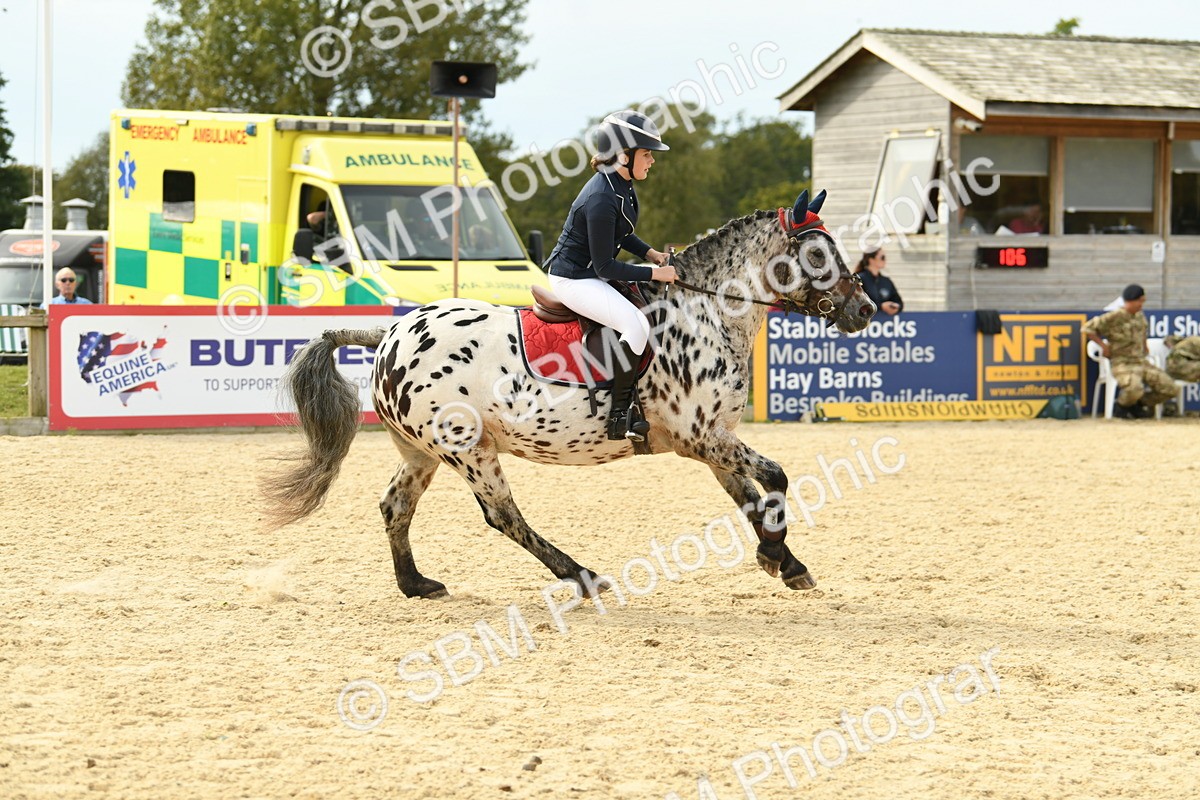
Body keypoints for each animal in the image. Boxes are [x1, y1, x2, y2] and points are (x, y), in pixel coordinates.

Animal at [264, 190, 876, 599]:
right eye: (816, 256)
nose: (866, 309)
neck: (706, 312)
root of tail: (390, 332)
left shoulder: (710, 440)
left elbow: (750, 497)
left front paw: (785, 563)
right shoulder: (701, 437)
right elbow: (776, 478)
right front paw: (777, 555)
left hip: (422, 451)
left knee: (396, 505)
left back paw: (415, 583)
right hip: (469, 449)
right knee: (502, 515)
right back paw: (582, 576)